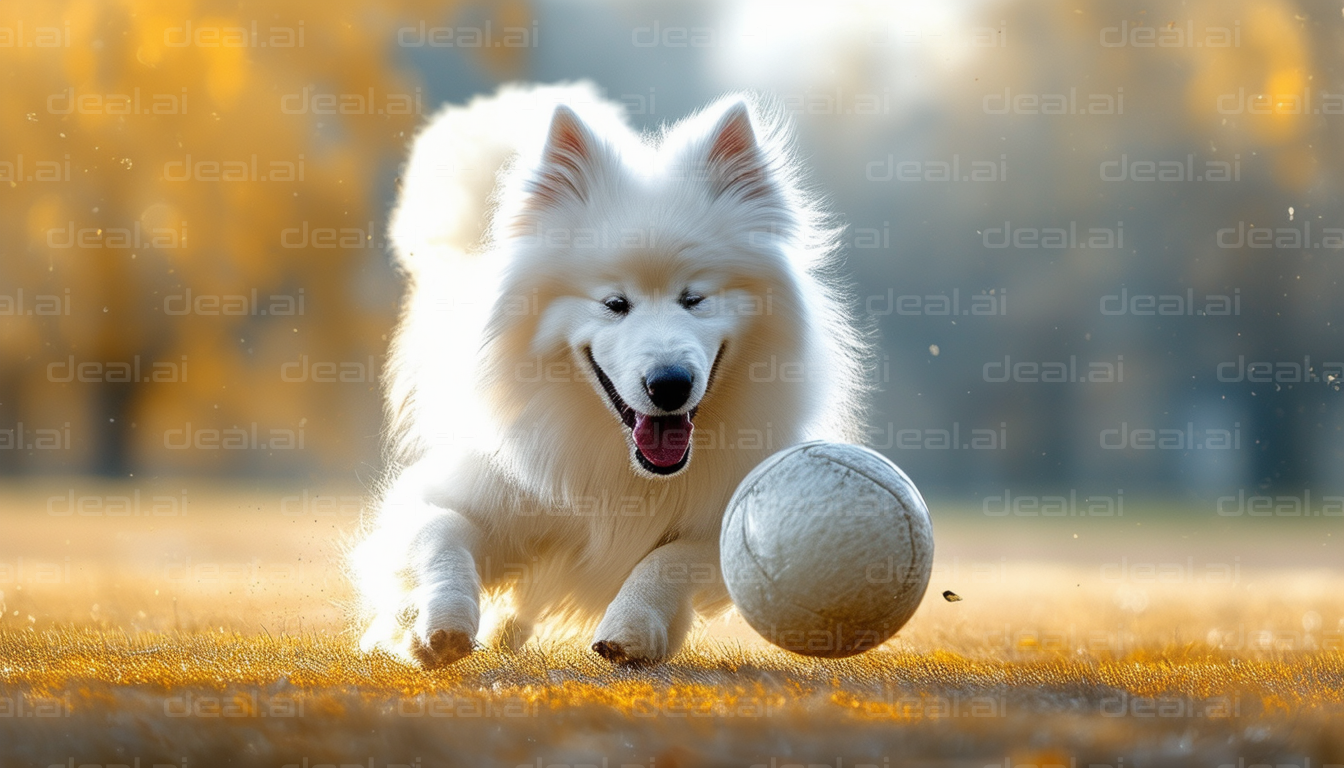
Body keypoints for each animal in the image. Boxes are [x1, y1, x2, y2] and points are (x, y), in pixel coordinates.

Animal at [352, 84, 865, 667]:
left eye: (695, 299)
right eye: (615, 304)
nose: (669, 384)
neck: (628, 468)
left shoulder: (734, 514)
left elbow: (669, 560)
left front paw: (631, 628)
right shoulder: (456, 490)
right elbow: (443, 539)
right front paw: (438, 627)